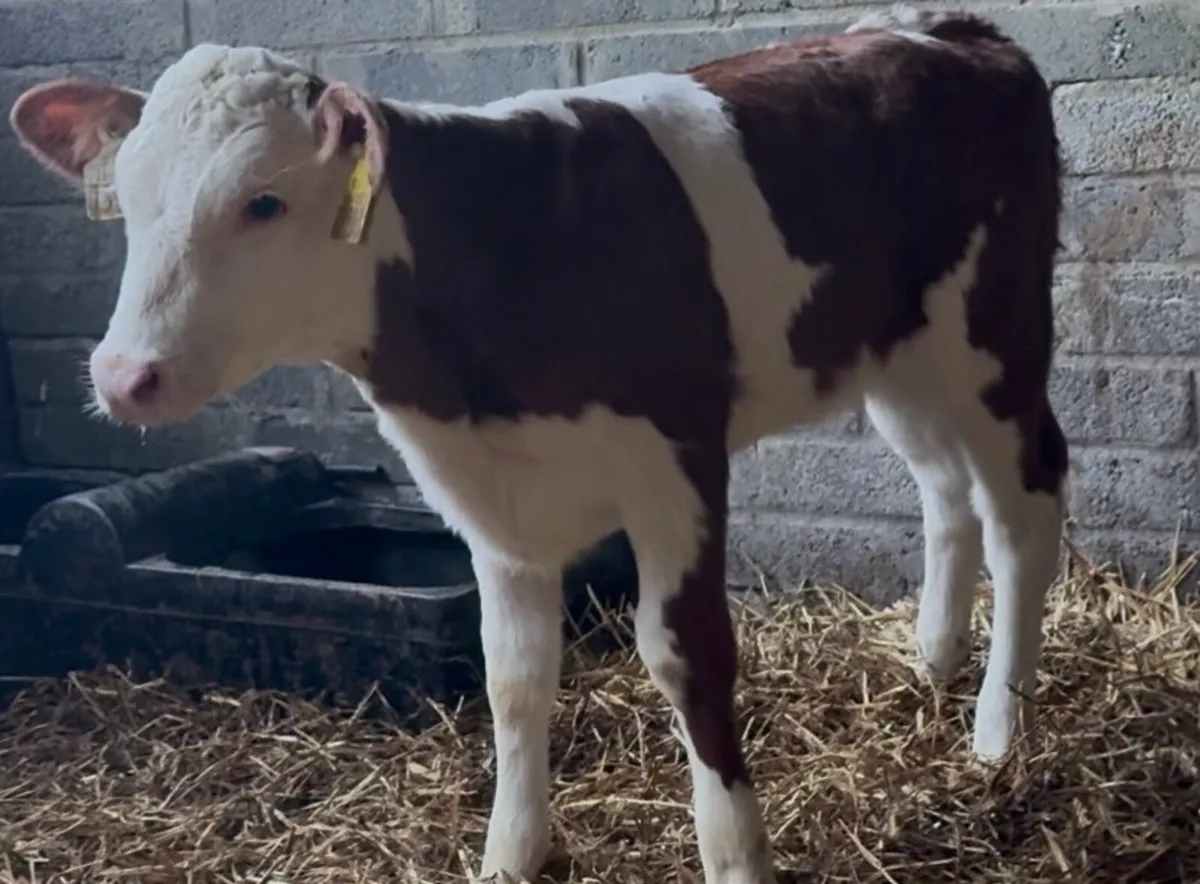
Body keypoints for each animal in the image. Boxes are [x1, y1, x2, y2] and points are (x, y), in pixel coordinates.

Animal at [9, 6, 1067, 881]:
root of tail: (953, 28)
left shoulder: (678, 464)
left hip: (995, 334)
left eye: (263, 201)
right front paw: (509, 856)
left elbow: (686, 654)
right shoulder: (485, 492)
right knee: (943, 486)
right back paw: (933, 659)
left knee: (1024, 506)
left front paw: (736, 856)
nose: (122, 375)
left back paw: (1000, 726)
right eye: (127, 199)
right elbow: (512, 675)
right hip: (896, 353)